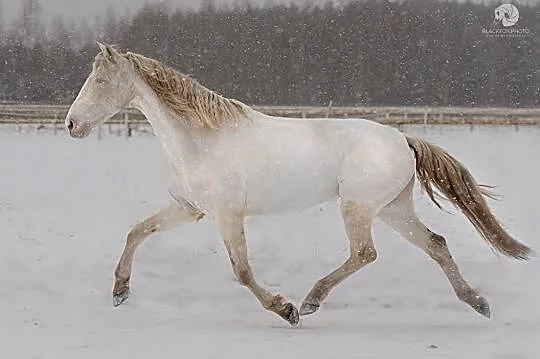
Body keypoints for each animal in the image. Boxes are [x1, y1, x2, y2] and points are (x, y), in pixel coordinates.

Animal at [64, 43, 532, 328]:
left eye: (100, 81)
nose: (71, 124)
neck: (200, 138)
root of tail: (402, 139)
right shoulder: (188, 208)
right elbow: (136, 232)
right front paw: (120, 292)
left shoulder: (227, 214)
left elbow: (242, 270)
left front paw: (285, 310)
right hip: (393, 209)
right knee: (436, 244)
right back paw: (478, 302)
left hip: (358, 207)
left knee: (366, 253)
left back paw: (310, 300)